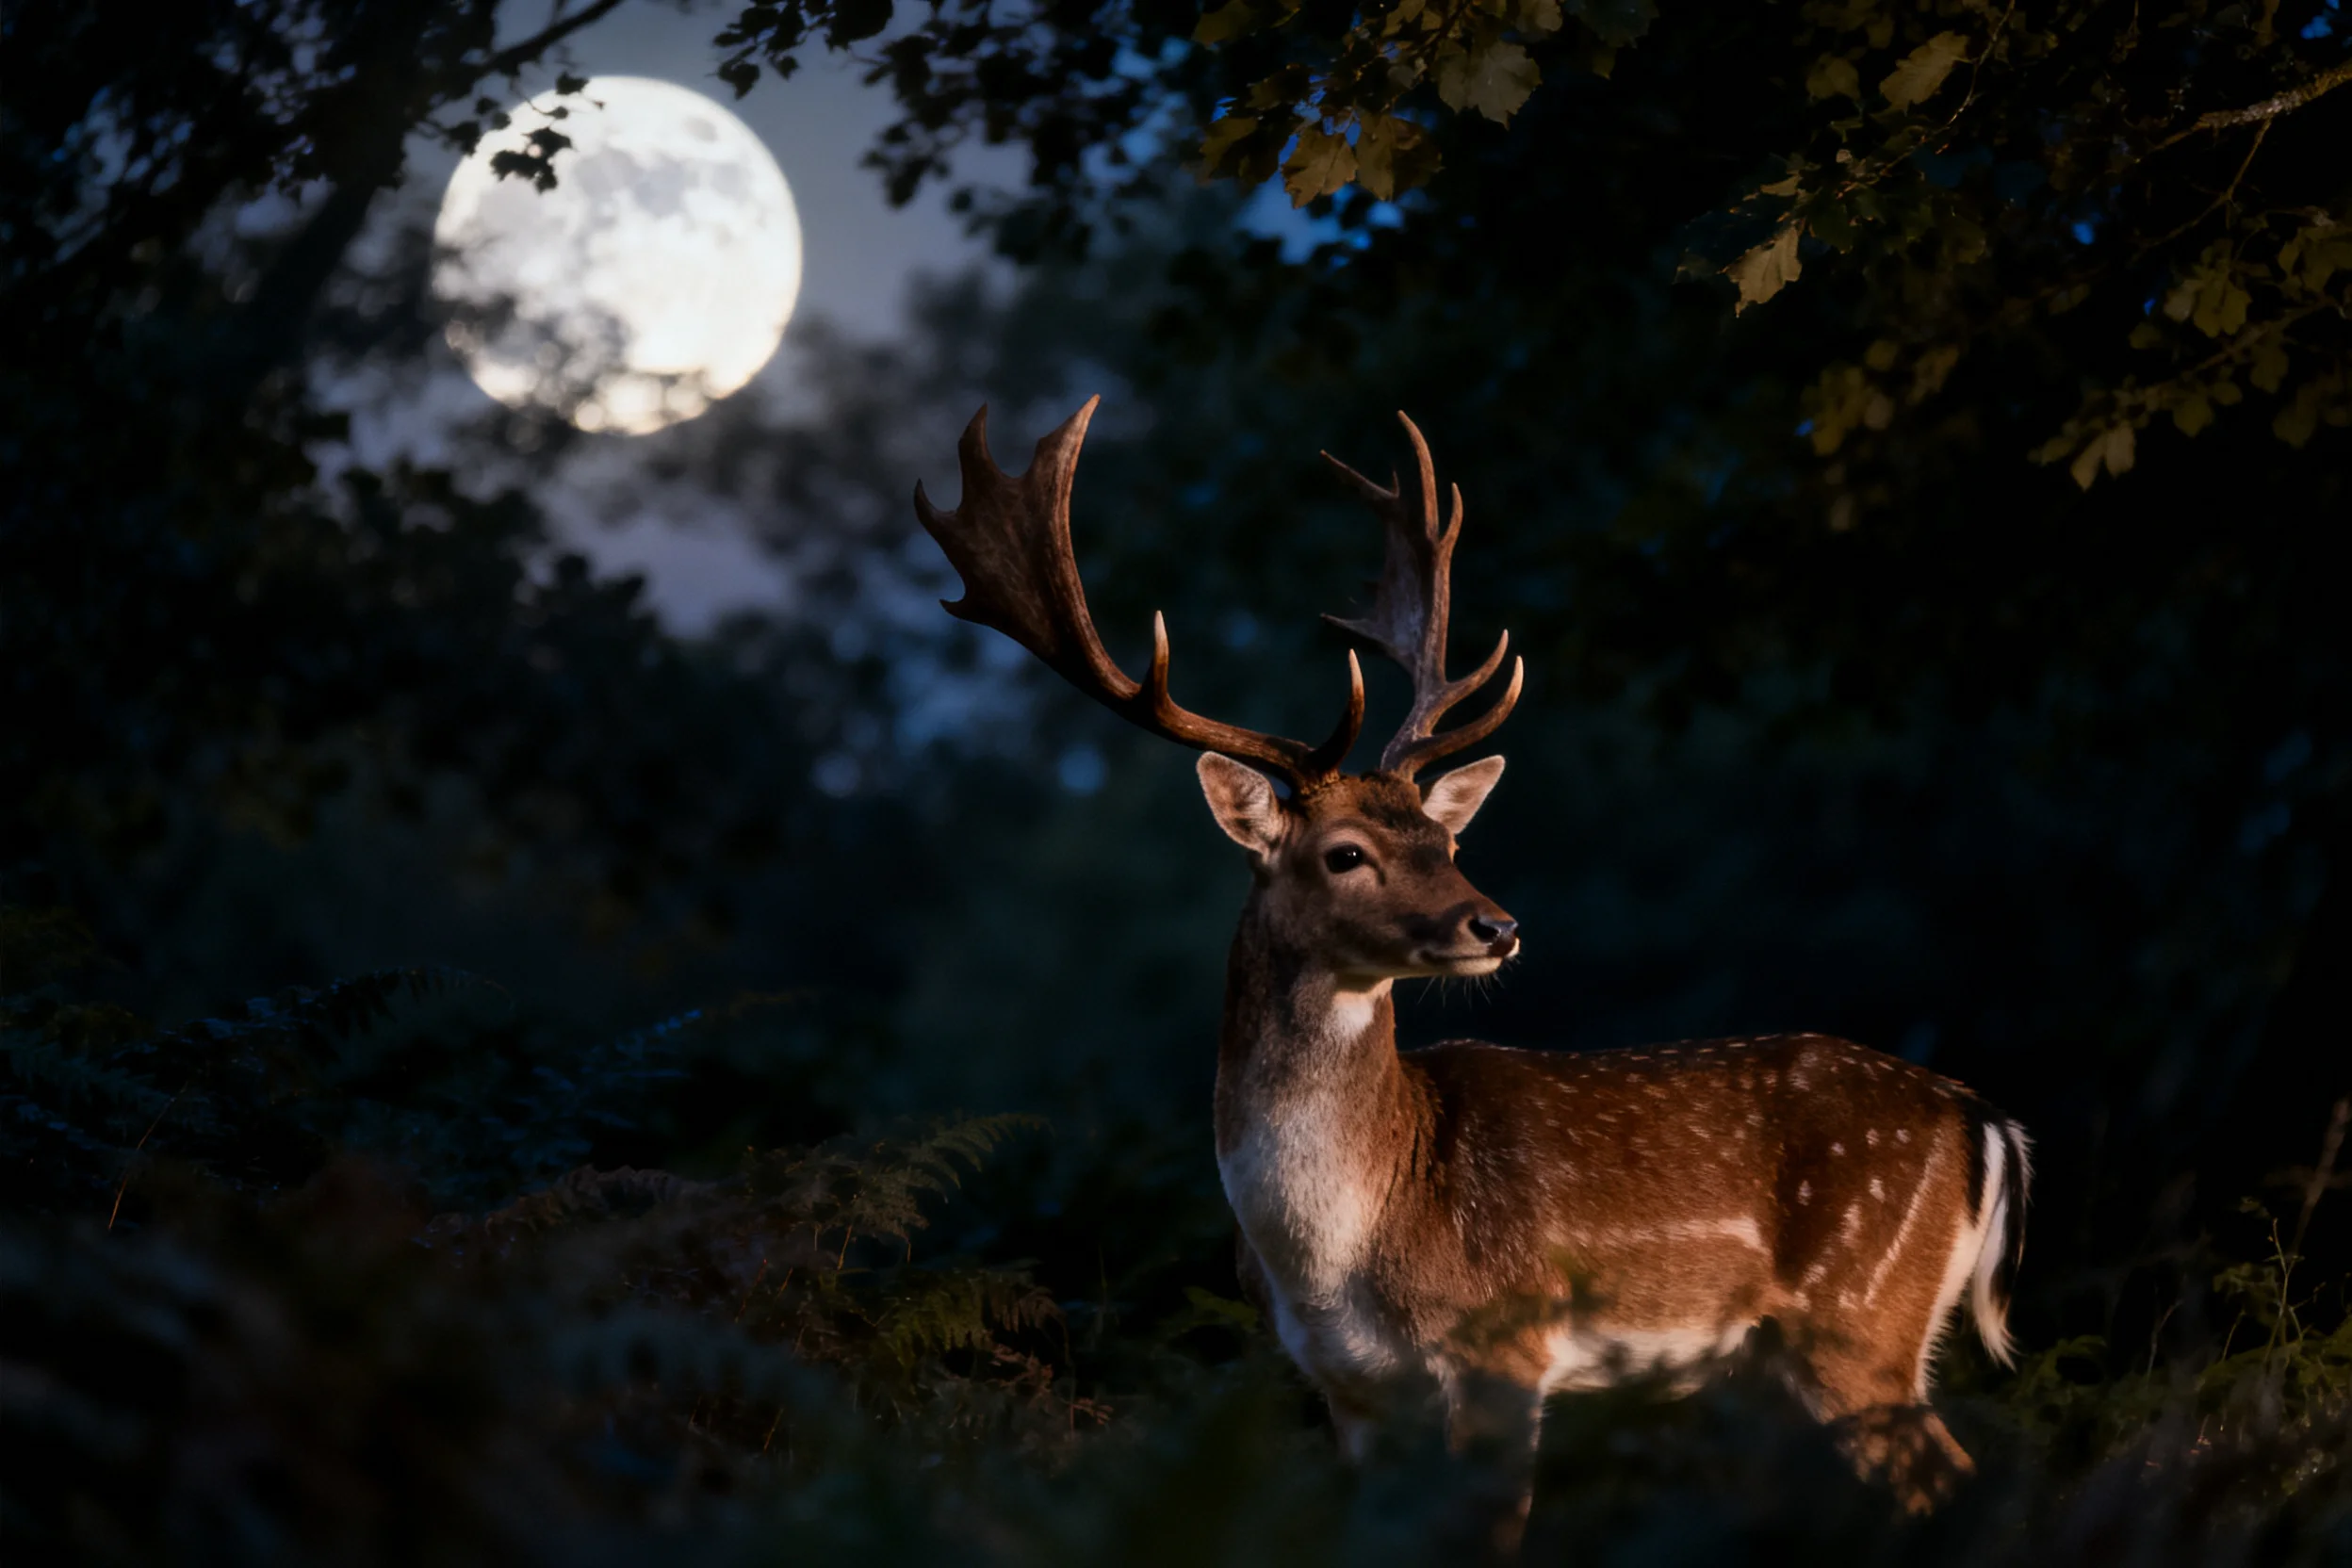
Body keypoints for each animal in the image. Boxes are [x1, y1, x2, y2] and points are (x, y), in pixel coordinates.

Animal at [913, 397, 2031, 1544]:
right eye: (1346, 853)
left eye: (1445, 840)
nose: (1496, 925)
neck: (1337, 1249)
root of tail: (1983, 1119)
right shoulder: (1348, 1389)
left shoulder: (1506, 1343)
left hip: (1857, 1317)